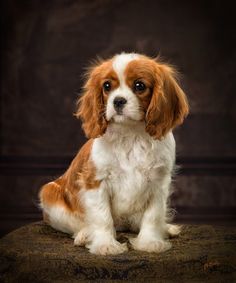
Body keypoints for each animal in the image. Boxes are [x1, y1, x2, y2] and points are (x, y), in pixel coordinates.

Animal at [39, 52, 189, 256]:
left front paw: (150, 242)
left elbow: (153, 215)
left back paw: (165, 228)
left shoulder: (158, 183)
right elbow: (102, 217)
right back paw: (85, 234)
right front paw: (106, 245)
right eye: (107, 86)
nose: (118, 100)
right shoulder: (96, 182)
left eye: (139, 86)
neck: (131, 135)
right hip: (49, 194)